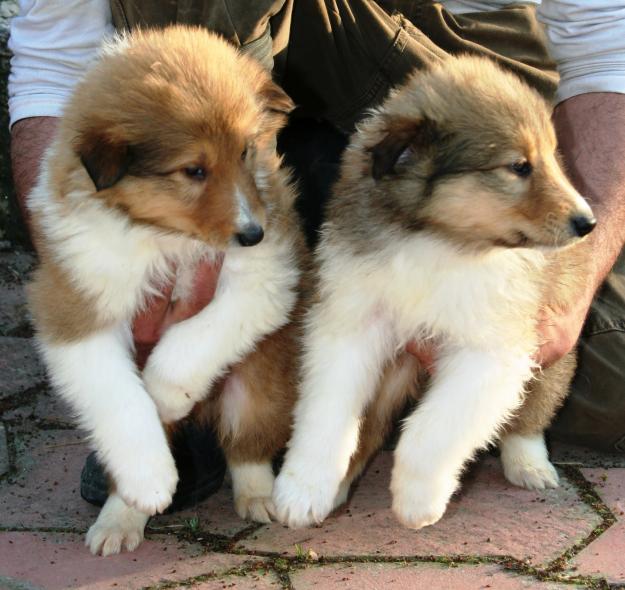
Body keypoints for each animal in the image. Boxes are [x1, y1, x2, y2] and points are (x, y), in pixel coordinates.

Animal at [29, 26, 308, 556]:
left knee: (246, 446)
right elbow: (119, 397)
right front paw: (150, 479)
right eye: (193, 170)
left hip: (259, 383)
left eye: (245, 152)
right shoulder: (75, 306)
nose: (252, 233)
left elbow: (192, 342)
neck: (164, 234)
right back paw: (119, 521)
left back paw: (260, 498)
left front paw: (165, 394)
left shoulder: (267, 276)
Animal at [274, 56, 596, 532]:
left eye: (551, 159)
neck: (437, 241)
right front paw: (301, 491)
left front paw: (417, 500)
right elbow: (326, 411)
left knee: (530, 415)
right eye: (519, 166)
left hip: (557, 344)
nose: (587, 223)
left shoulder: (492, 349)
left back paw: (530, 466)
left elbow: (434, 428)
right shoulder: (350, 322)